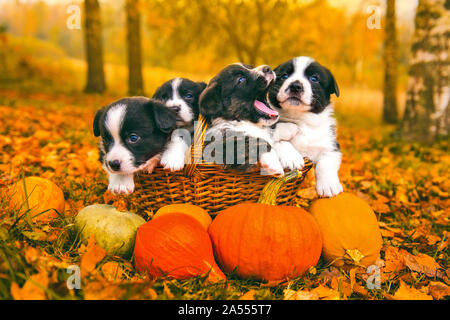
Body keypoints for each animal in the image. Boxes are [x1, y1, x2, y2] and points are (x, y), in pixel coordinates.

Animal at [268, 57, 344, 198]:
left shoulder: (330, 144)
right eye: (284, 76)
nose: (295, 86)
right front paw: (291, 157)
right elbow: (279, 140)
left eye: (314, 78)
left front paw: (329, 185)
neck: (301, 119)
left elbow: (326, 163)